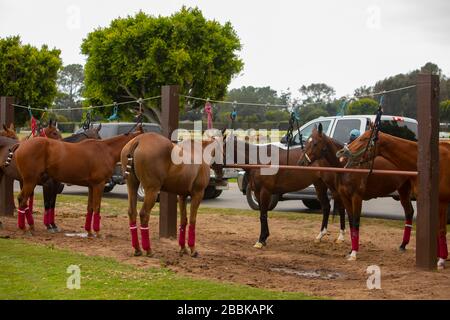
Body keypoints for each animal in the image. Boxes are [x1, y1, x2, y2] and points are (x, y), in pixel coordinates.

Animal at [13, 125, 144, 235]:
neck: (105, 151)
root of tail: (21, 144)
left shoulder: (92, 186)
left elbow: (90, 207)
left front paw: (89, 231)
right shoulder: (99, 185)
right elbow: (97, 207)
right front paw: (97, 232)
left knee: (22, 200)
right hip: (30, 181)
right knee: (22, 200)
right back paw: (25, 228)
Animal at [298, 124, 414, 262]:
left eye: (315, 143)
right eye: (306, 142)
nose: (301, 163)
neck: (347, 167)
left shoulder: (356, 197)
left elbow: (356, 221)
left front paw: (354, 253)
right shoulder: (345, 197)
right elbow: (351, 220)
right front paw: (350, 250)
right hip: (403, 190)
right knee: (409, 212)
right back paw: (403, 245)